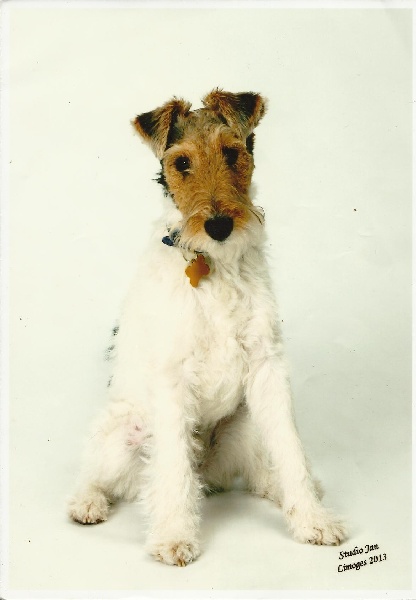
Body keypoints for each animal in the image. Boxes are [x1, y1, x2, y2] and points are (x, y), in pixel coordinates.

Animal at [68, 89, 346, 567]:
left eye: (232, 152)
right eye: (181, 162)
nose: (218, 225)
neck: (214, 265)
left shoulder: (267, 365)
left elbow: (291, 449)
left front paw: (314, 521)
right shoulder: (173, 376)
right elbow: (173, 469)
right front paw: (174, 538)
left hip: (245, 428)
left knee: (260, 473)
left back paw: (296, 490)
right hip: (120, 434)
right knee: (103, 474)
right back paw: (87, 504)